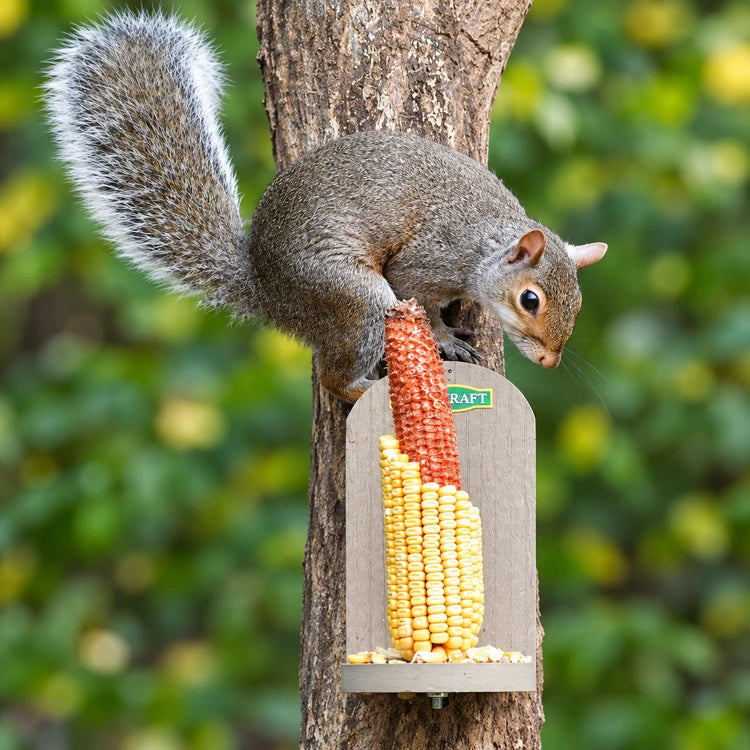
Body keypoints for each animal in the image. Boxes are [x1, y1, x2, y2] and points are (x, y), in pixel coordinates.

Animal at [44, 11, 606, 403]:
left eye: (579, 303)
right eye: (530, 300)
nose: (550, 361)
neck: (486, 241)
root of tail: (269, 294)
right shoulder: (429, 259)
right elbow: (419, 296)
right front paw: (446, 337)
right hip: (351, 297)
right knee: (336, 373)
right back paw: (359, 387)